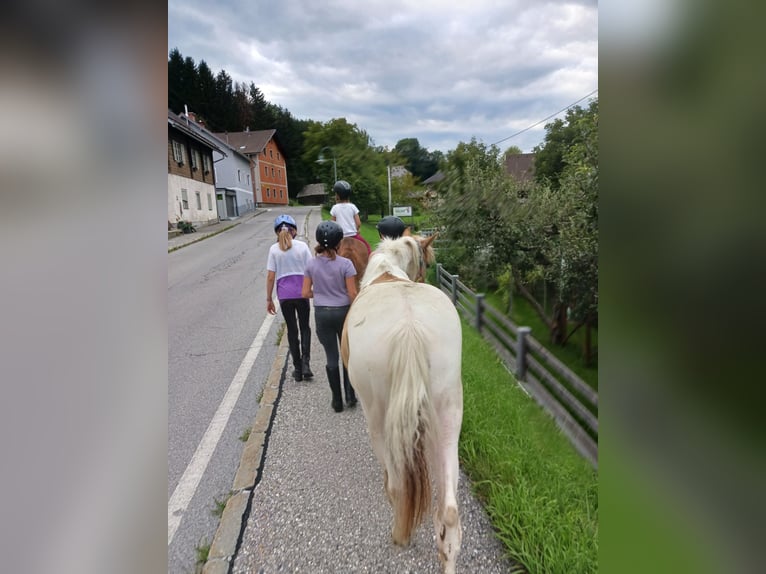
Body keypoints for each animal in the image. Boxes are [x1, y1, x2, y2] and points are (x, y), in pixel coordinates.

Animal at [344, 235, 468, 574]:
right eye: (426, 261)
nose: (424, 277)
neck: (387, 272)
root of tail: (410, 327)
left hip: (376, 416)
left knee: (398, 485)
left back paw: (399, 532)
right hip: (449, 410)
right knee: (449, 510)